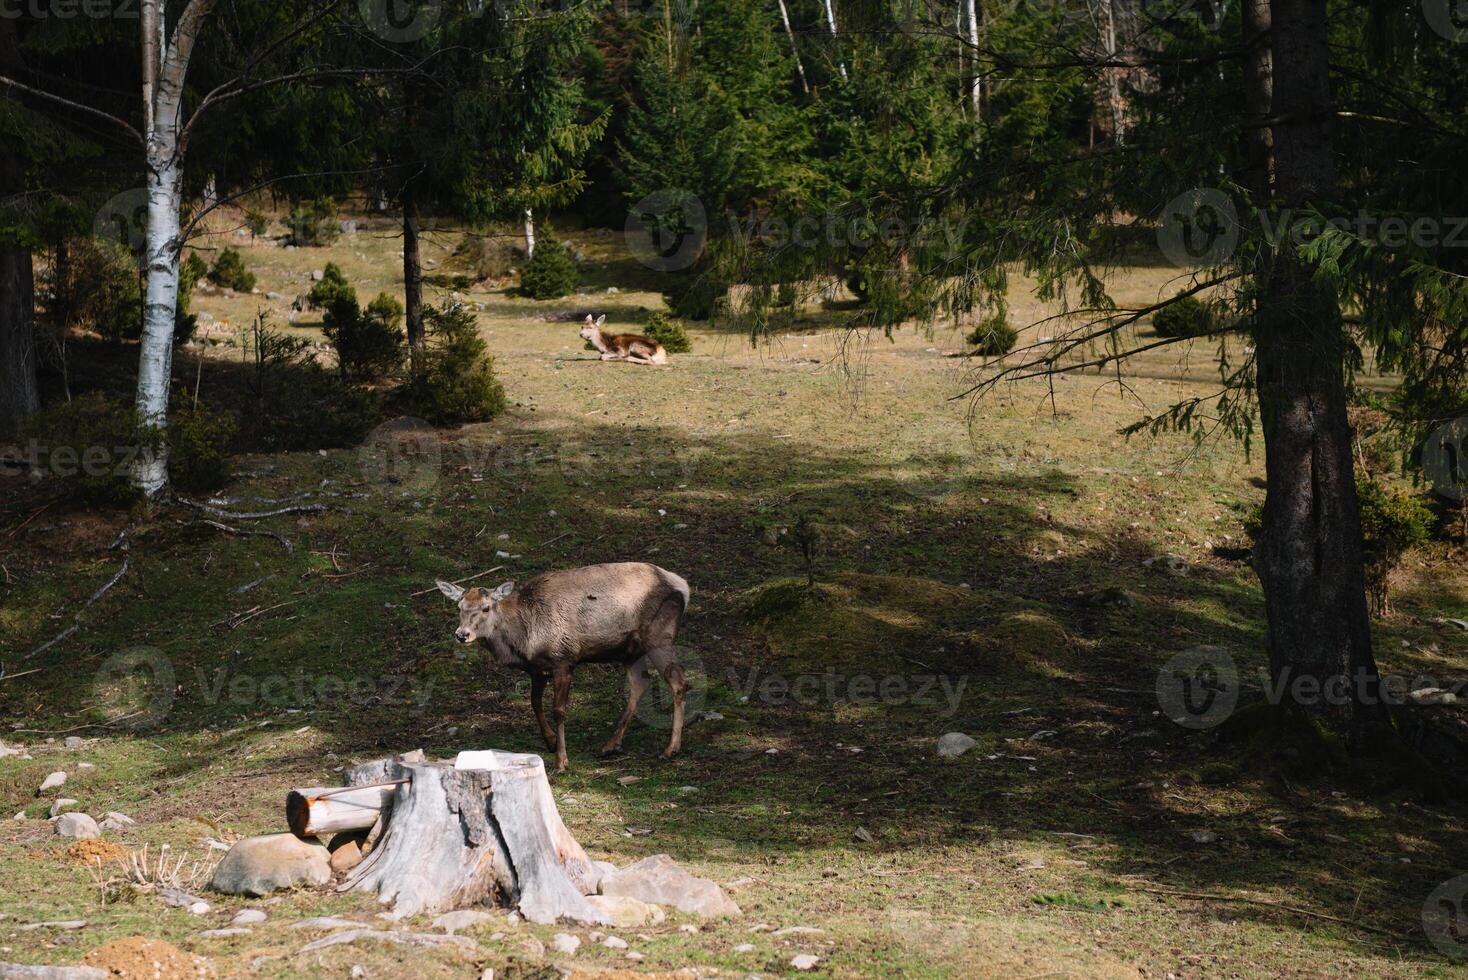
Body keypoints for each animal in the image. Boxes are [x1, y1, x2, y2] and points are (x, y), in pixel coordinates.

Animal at [437, 563, 689, 768]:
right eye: (459, 606)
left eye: (486, 608)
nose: (462, 635)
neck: (524, 638)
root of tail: (683, 587)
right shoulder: (537, 669)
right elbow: (535, 702)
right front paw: (550, 742)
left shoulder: (563, 659)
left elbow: (558, 710)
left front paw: (561, 760)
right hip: (629, 652)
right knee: (641, 683)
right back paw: (609, 745)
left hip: (659, 636)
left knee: (679, 681)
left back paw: (670, 749)